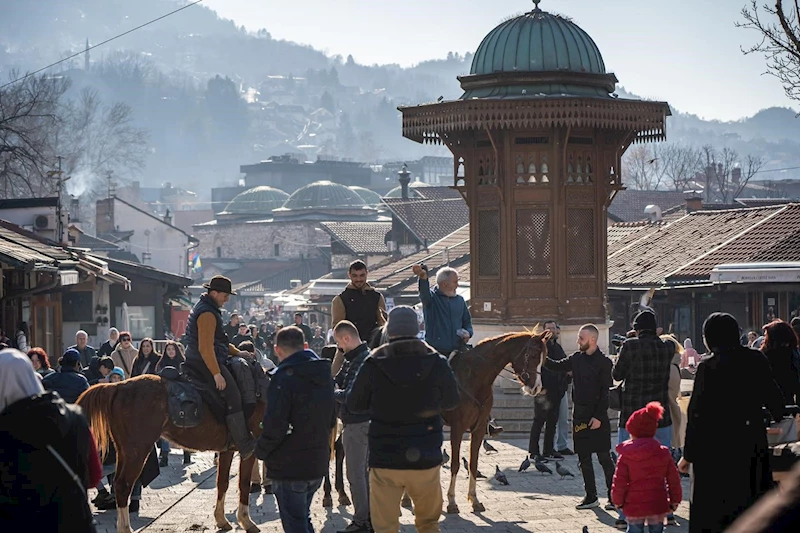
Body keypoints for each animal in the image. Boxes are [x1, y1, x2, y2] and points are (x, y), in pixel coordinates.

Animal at [76, 374, 262, 532]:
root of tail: (117, 386)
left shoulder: (227, 450)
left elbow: (222, 482)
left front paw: (221, 519)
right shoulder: (250, 450)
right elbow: (243, 483)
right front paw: (246, 520)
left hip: (124, 451)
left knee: (117, 484)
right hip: (137, 450)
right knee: (123, 485)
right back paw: (125, 528)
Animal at [444, 330, 552, 512]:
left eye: (543, 359)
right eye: (532, 355)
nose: (537, 387)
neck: (474, 378)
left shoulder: (479, 428)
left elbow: (473, 463)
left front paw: (474, 499)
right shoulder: (457, 428)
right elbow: (455, 464)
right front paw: (452, 501)